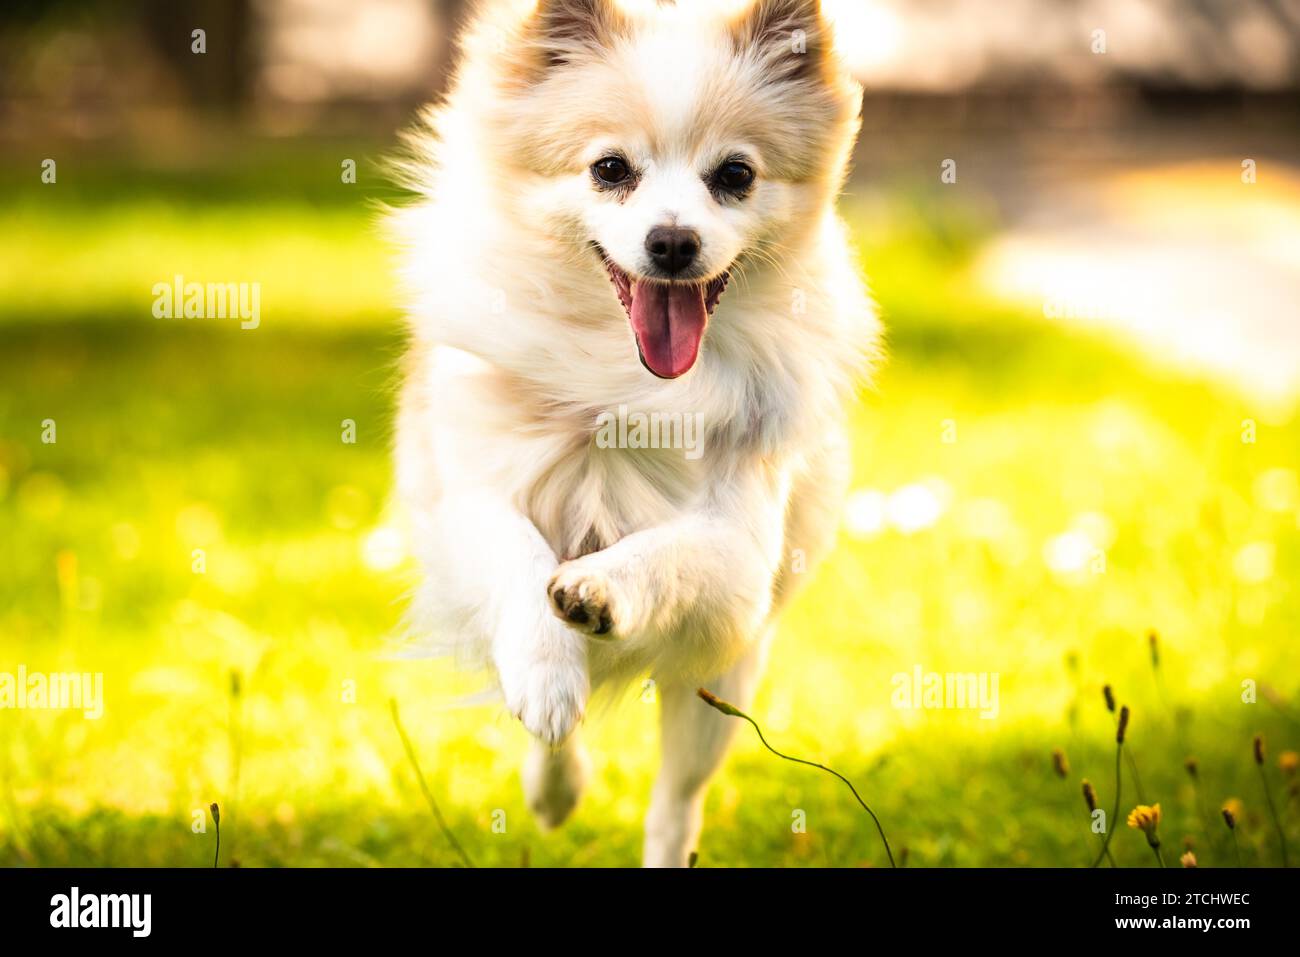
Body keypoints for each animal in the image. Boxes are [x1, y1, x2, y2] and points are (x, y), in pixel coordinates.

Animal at [384, 0, 873, 868]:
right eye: (610, 169)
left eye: (735, 176)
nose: (673, 240)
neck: (627, 380)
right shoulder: (469, 498)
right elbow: (518, 556)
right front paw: (547, 670)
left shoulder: (740, 557)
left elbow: (666, 553)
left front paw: (601, 585)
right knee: (553, 728)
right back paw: (553, 771)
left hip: (720, 689)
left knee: (675, 803)